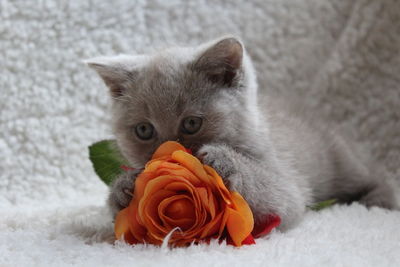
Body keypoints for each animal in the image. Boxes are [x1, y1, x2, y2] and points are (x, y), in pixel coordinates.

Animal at [86, 36, 398, 231]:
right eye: (144, 130)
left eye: (191, 123)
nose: (169, 150)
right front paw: (124, 187)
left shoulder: (287, 182)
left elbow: (280, 195)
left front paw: (222, 159)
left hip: (342, 160)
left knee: (375, 175)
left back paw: (377, 202)